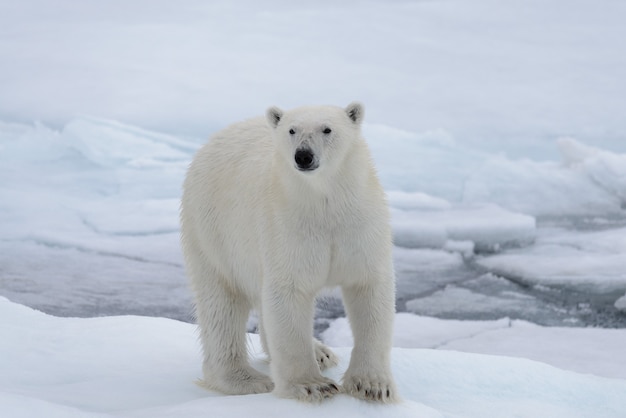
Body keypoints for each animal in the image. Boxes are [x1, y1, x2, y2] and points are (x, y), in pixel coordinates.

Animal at [179, 101, 394, 402]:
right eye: (292, 130)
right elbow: (289, 292)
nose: (303, 156)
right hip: (212, 230)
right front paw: (312, 385)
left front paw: (372, 386)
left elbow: (369, 288)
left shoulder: (360, 226)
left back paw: (321, 351)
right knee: (222, 302)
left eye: (327, 129)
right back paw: (246, 379)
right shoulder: (286, 226)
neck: (325, 202)